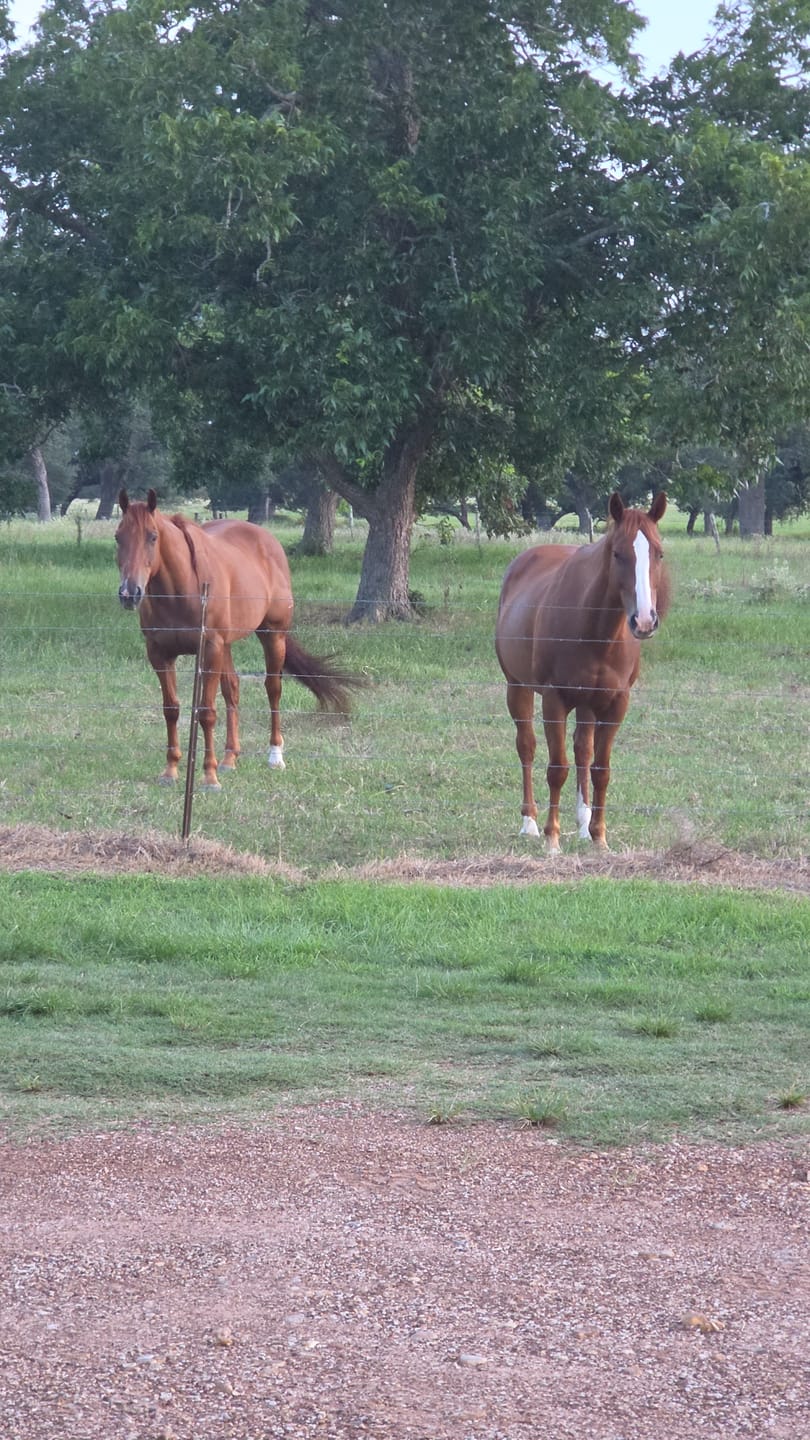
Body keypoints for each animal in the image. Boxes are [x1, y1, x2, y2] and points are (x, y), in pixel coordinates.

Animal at [115, 488, 360, 789]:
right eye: (118, 537)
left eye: (152, 536)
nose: (129, 593)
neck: (181, 590)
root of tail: (266, 539)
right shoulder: (160, 654)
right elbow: (171, 709)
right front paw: (170, 771)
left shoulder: (210, 649)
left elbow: (206, 712)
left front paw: (209, 776)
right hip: (227, 647)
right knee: (232, 689)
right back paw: (230, 758)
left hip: (272, 636)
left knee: (273, 690)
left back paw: (275, 756)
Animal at [495, 492, 669, 852]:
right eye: (617, 553)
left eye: (659, 552)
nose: (645, 620)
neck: (595, 630)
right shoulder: (554, 699)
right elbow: (556, 767)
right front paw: (552, 839)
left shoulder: (616, 702)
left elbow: (600, 768)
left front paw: (600, 837)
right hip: (517, 687)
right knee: (527, 746)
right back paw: (529, 822)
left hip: (588, 703)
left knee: (582, 751)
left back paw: (584, 823)